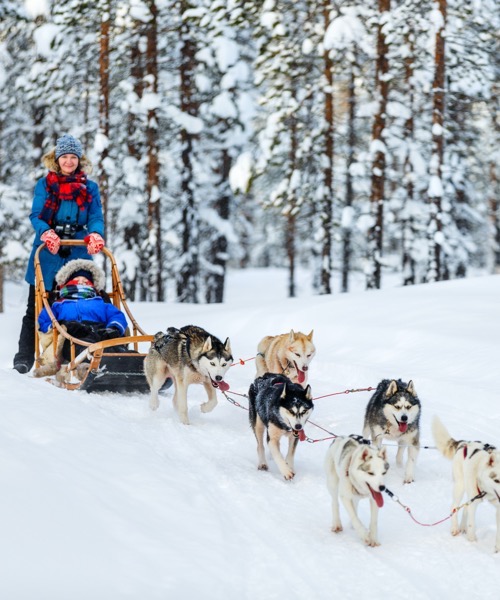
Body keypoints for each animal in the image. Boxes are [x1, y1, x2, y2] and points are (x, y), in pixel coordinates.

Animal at [432, 418, 498, 552]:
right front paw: (472, 542)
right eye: (497, 480)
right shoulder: (474, 501)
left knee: (465, 507)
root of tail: (464, 443)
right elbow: (472, 524)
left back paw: (462, 527)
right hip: (460, 486)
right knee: (454, 507)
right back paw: (455, 528)